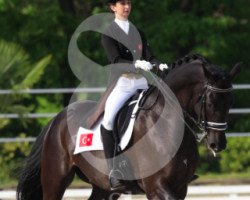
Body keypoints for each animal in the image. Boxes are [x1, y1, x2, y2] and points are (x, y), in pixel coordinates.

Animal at [17, 54, 240, 199]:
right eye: (210, 102)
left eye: (230, 101)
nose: (217, 144)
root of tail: (57, 119)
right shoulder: (156, 186)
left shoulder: (180, 187)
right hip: (55, 179)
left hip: (102, 187)